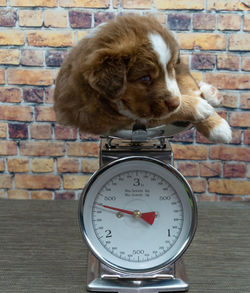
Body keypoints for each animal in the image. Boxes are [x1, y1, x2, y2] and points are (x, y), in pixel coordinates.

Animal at [53, 14, 231, 143]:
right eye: (145, 78)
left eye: (170, 69)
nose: (175, 102)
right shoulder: (124, 118)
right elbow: (171, 111)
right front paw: (201, 109)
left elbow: (183, 85)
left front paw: (213, 119)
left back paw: (212, 93)